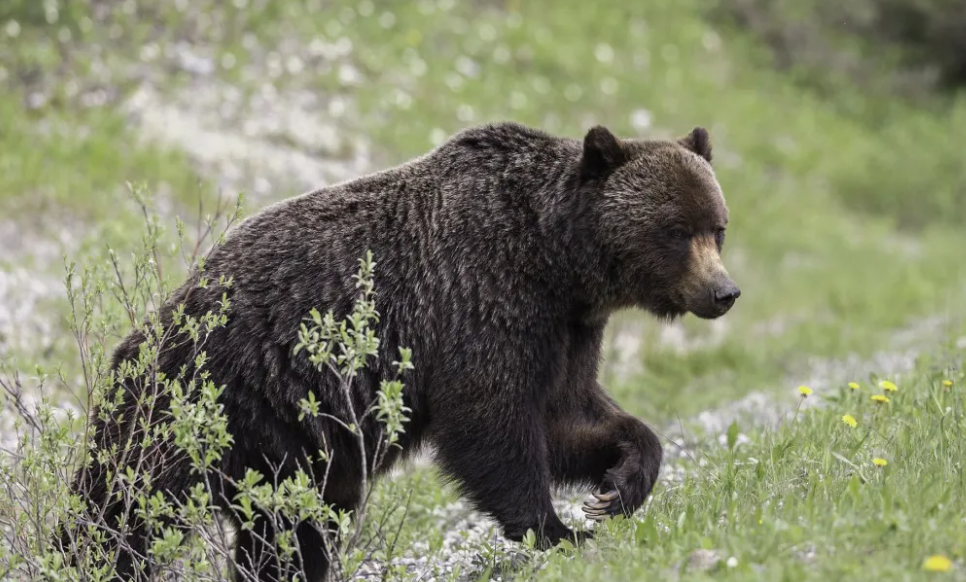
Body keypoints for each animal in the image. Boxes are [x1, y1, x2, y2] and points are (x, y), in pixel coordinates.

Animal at [62, 121, 740, 580]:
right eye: (676, 231)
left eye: (718, 227)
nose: (724, 292)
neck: (555, 261)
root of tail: (142, 335)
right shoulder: (482, 299)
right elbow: (491, 421)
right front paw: (555, 529)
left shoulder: (565, 329)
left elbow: (570, 415)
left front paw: (620, 483)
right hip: (202, 406)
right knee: (123, 508)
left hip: (288, 448)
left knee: (291, 526)